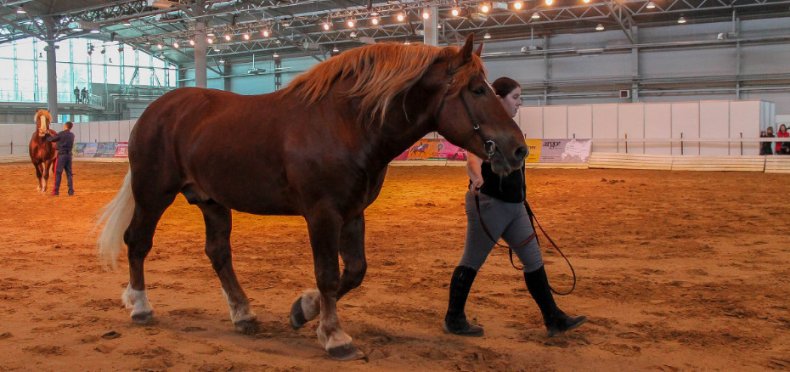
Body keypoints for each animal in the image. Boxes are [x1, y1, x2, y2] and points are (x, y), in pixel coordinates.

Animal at [100, 35, 532, 360]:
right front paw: (335, 337)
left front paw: (302, 310)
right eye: (476, 90)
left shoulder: (352, 213)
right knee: (137, 242)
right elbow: (327, 274)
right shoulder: (323, 215)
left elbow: (354, 271)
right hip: (154, 193)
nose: (518, 150)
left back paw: (243, 314)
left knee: (218, 253)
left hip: (212, 202)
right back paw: (140, 306)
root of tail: (155, 110)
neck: (347, 123)